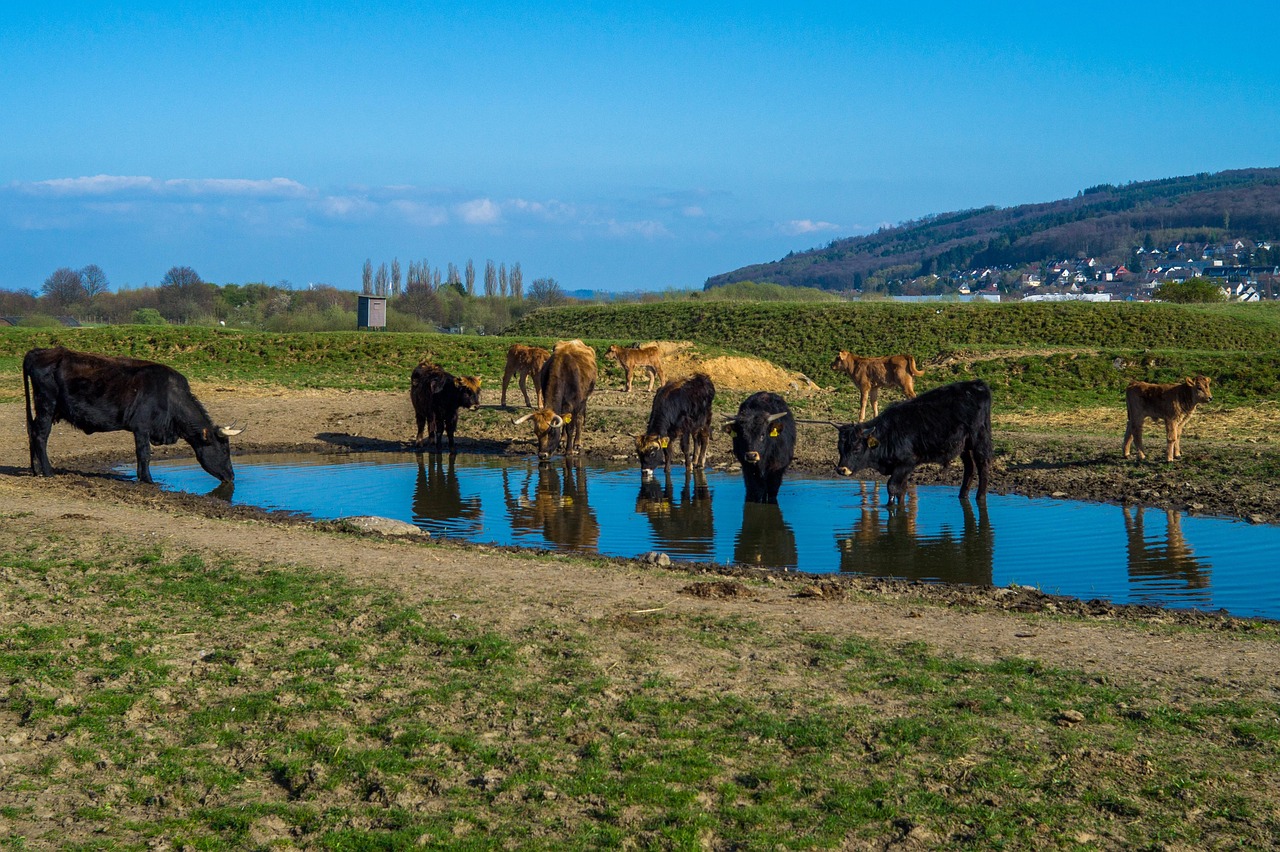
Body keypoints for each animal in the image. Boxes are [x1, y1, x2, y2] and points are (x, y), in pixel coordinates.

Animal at [834, 378, 993, 504]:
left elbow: (892, 487)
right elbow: (902, 490)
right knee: (970, 467)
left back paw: (980, 496)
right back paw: (962, 495)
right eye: (840, 448)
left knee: (982, 465)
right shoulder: (902, 468)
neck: (888, 435)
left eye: (856, 449)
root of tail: (976, 384)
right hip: (964, 445)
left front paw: (890, 507)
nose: (842, 469)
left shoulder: (907, 462)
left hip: (979, 438)